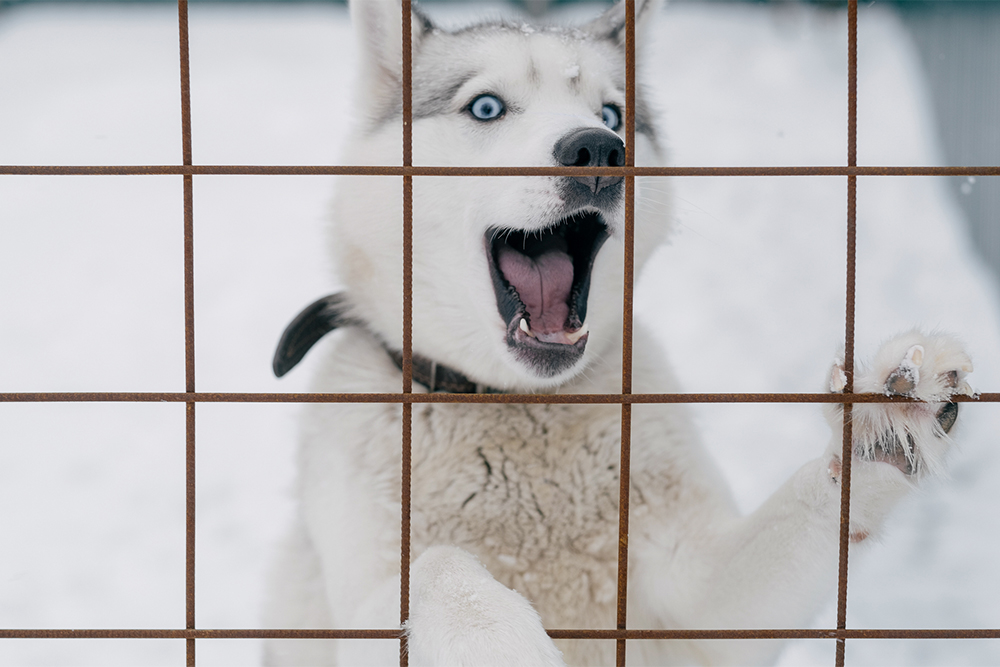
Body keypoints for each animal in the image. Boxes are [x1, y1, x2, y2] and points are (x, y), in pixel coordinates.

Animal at [262, 2, 972, 664]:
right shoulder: (357, 610)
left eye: (611, 114)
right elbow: (431, 565)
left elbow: (800, 515)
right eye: (486, 107)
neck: (518, 405)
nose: (598, 150)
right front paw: (495, 636)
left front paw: (884, 430)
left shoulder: (697, 608)